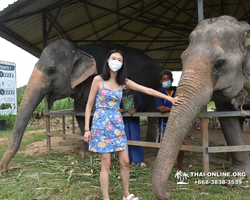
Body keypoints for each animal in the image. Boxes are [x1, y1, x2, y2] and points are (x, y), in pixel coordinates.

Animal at [0, 39, 162, 173]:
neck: (78, 48)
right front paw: (85, 153)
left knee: (153, 114)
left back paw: (149, 143)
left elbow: (95, 112)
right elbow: (80, 114)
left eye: (51, 70)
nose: (4, 169)